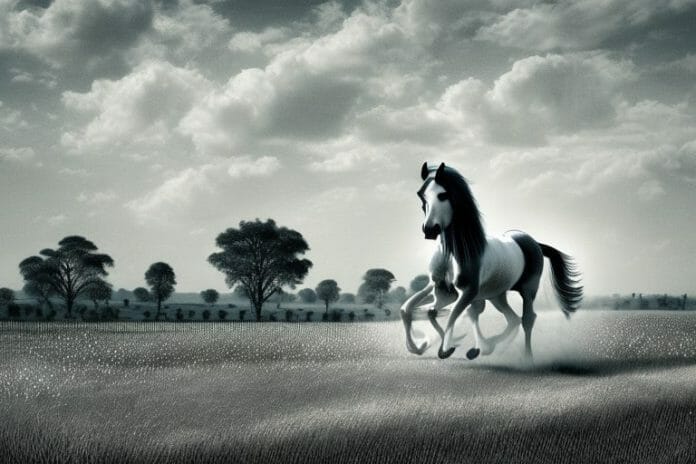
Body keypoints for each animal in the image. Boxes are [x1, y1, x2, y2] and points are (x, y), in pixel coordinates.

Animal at [400, 162, 583, 360]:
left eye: (443, 195)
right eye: (421, 195)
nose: (429, 230)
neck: (454, 252)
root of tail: (533, 242)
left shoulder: (467, 292)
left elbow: (452, 315)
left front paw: (446, 348)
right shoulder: (443, 290)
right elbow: (419, 310)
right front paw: (424, 345)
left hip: (528, 289)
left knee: (527, 318)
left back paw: (524, 356)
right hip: (497, 295)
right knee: (512, 319)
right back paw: (486, 348)